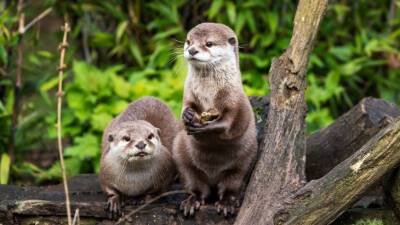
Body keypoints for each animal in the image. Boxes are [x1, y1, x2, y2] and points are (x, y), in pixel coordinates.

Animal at [171, 22, 258, 216]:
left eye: (209, 43)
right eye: (188, 41)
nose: (192, 50)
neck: (209, 92)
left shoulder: (234, 98)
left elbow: (230, 121)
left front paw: (206, 127)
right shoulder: (188, 92)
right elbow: (185, 106)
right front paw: (188, 115)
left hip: (243, 162)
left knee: (230, 186)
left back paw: (226, 203)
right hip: (182, 156)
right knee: (196, 186)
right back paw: (192, 201)